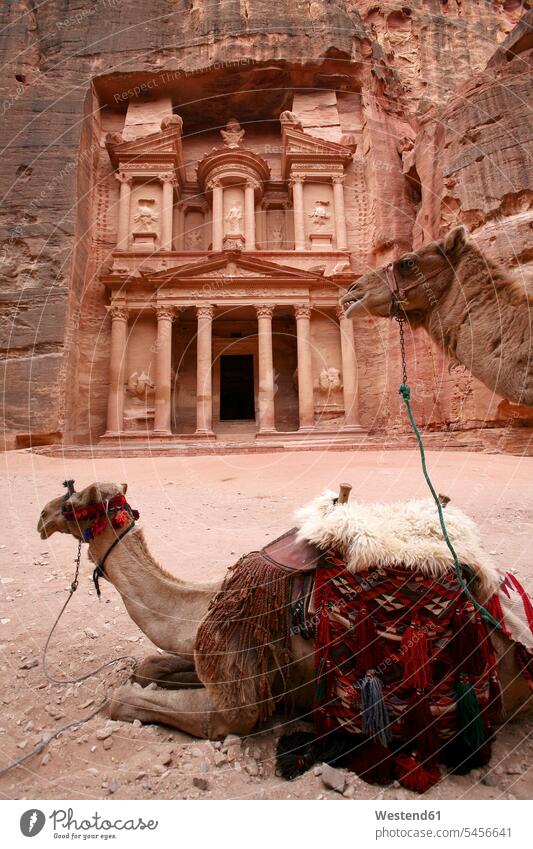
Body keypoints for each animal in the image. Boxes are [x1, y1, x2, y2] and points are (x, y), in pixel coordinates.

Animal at [38, 480, 532, 792]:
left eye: (73, 503)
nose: (41, 516)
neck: (205, 602)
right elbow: (149, 664)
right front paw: (149, 673)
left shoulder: (236, 701)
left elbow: (124, 701)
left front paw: (127, 695)